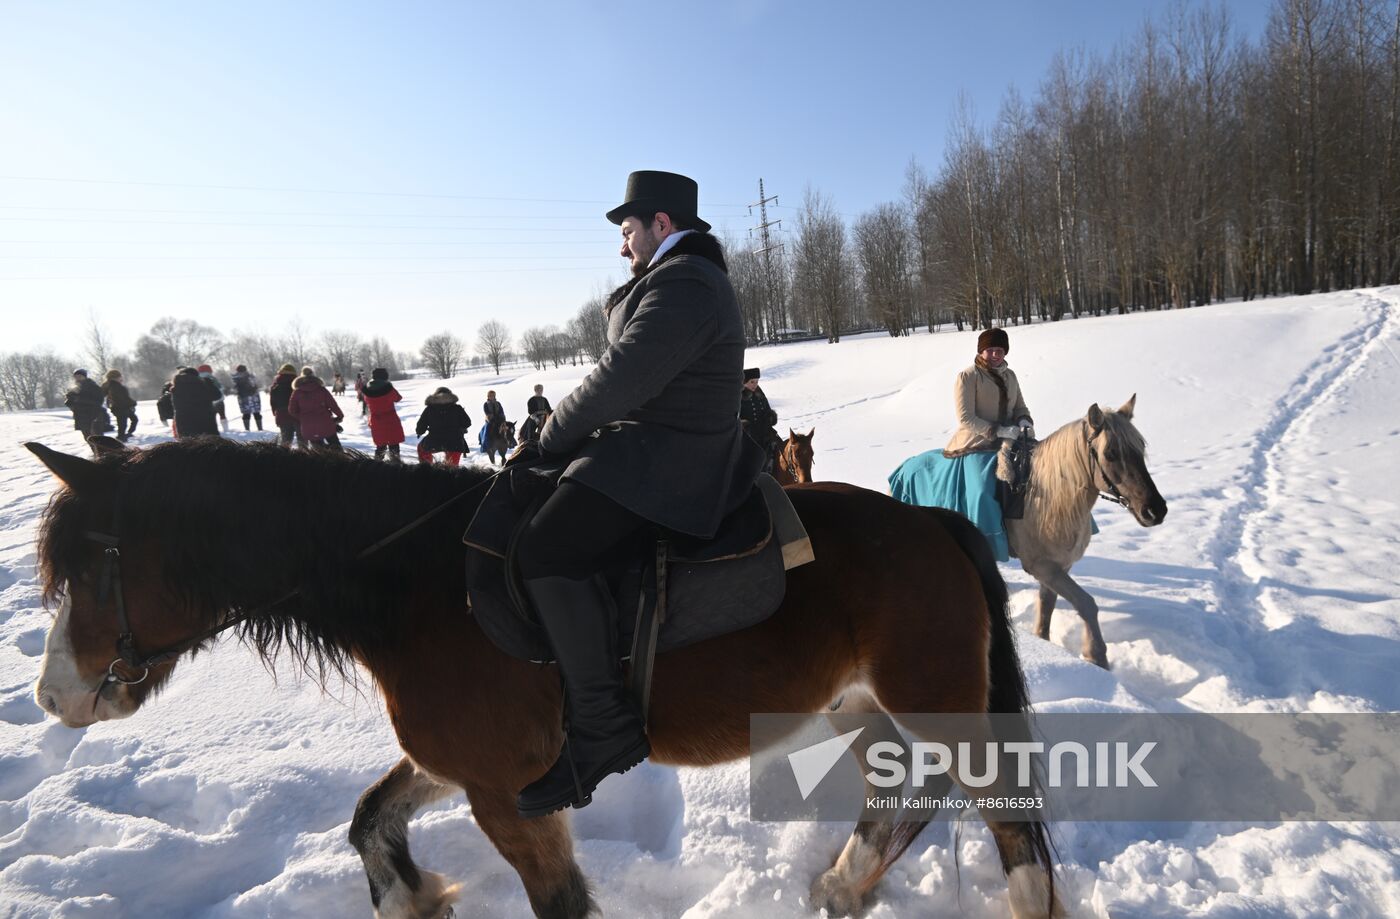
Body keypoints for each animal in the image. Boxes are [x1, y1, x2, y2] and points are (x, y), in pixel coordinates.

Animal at [24, 437, 1058, 919]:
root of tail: (931, 523)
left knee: (1008, 829)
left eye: (93, 568)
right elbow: (368, 818)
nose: (52, 696)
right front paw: (411, 894)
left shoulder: (507, 796)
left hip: (941, 708)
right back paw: (844, 882)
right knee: (904, 789)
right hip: (860, 704)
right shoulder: (470, 768)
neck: (420, 585)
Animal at [1008, 395, 1170, 666]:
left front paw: (1043, 640)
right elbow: (1087, 603)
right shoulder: (1042, 566)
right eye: (1110, 453)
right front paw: (1096, 656)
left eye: (1141, 449)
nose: (1155, 510)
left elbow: (1047, 608)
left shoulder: (1059, 567)